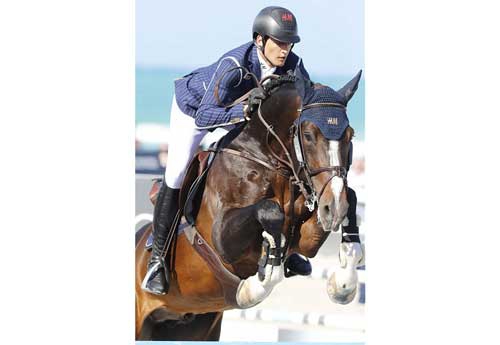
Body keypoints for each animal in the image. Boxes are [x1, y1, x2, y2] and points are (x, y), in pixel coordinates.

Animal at [135, 70, 362, 338]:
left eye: (350, 135)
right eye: (308, 136)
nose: (334, 208)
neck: (265, 158)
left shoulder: (306, 239)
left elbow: (351, 198)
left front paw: (344, 285)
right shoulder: (222, 240)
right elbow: (270, 212)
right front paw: (253, 285)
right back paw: (156, 274)